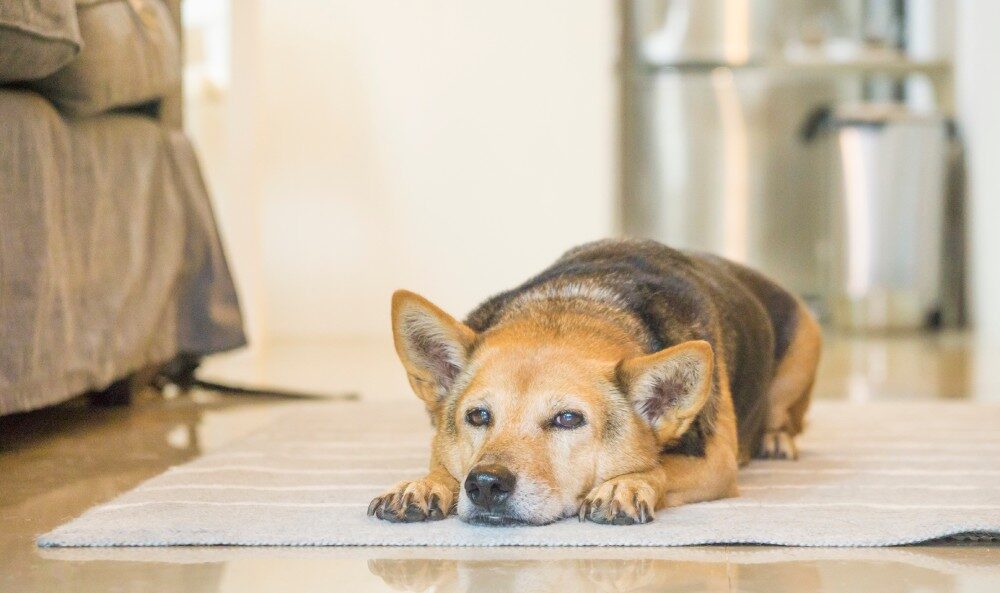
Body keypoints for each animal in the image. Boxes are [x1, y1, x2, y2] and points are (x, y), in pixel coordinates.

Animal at [368, 238, 820, 524]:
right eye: (478, 416)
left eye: (568, 419)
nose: (485, 484)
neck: (578, 304)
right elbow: (443, 463)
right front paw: (425, 484)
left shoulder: (717, 462)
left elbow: (660, 465)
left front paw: (624, 486)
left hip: (803, 351)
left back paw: (776, 439)